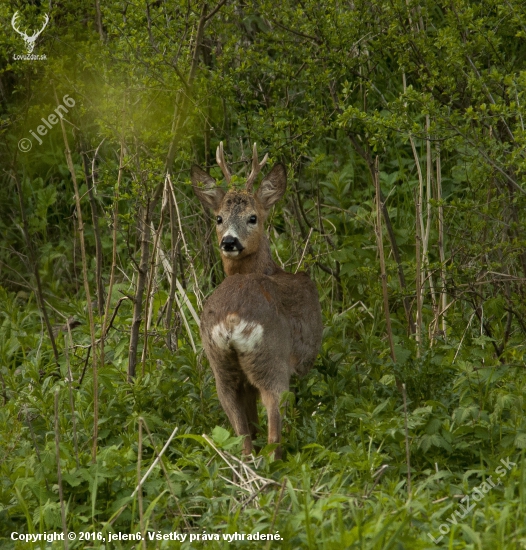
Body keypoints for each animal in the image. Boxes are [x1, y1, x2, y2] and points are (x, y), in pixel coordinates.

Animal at [193, 143, 324, 462]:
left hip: (221, 368)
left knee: (243, 437)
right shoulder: (303, 363)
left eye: (252, 217)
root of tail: (231, 320)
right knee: (273, 430)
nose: (229, 242)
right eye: (219, 218)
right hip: (271, 362)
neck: (269, 269)